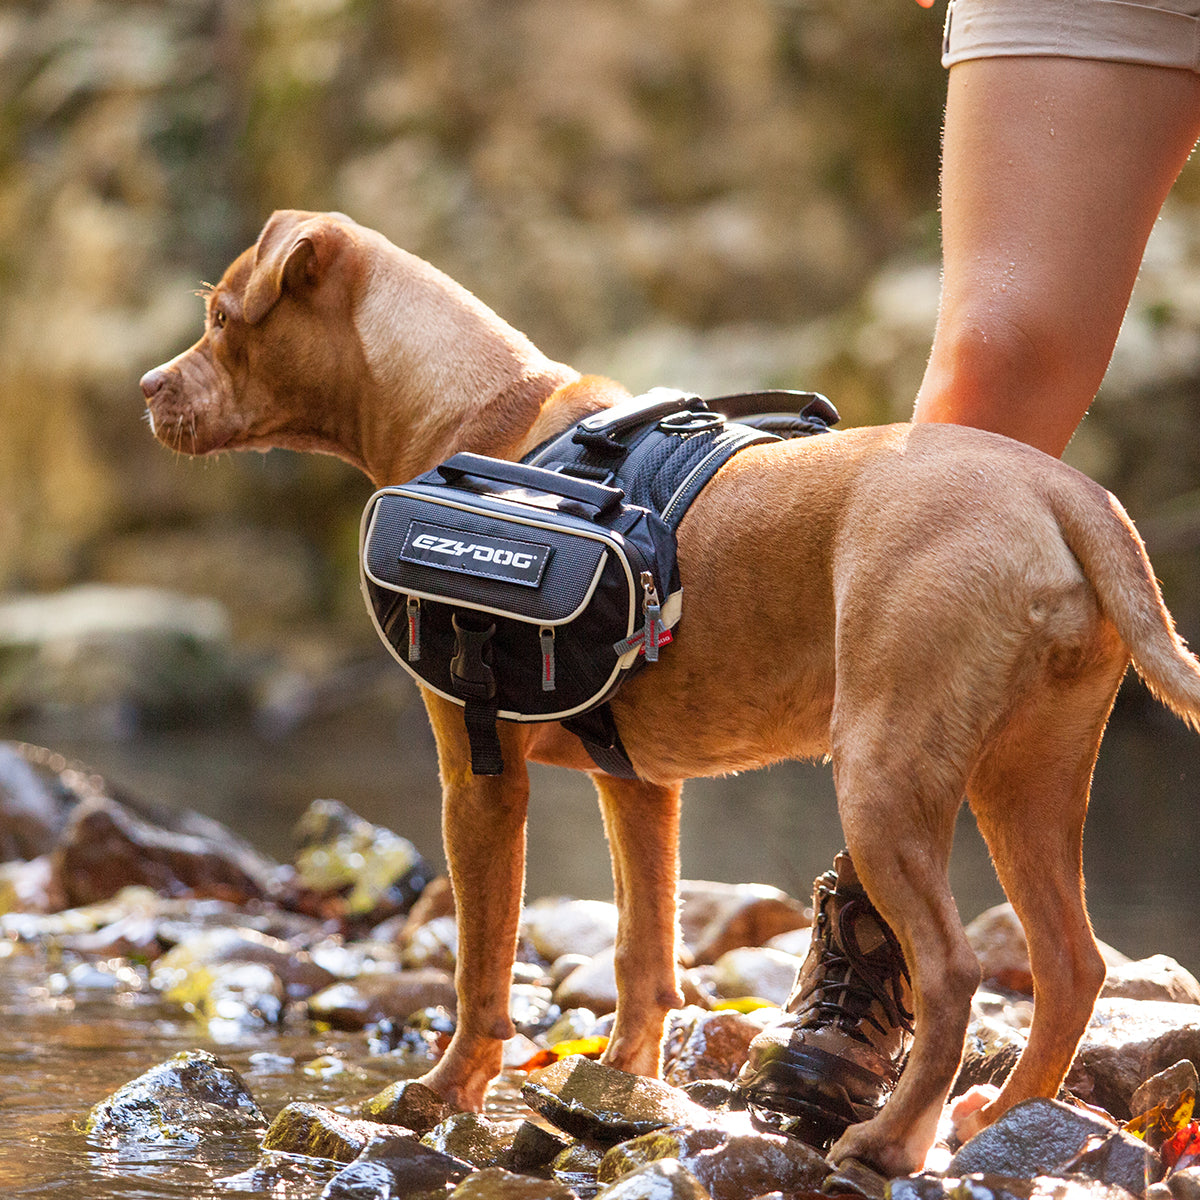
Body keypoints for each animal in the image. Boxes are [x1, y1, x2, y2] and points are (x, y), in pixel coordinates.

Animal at [138, 211, 1200, 1176]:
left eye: (223, 316)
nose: (148, 389)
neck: (478, 413)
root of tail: (1066, 492)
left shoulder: (478, 775)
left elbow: (482, 966)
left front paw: (441, 1096)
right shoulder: (638, 785)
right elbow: (643, 957)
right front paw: (620, 1086)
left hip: (885, 776)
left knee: (955, 971)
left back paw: (892, 1141)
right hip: (1027, 782)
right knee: (1071, 966)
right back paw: (1009, 1125)